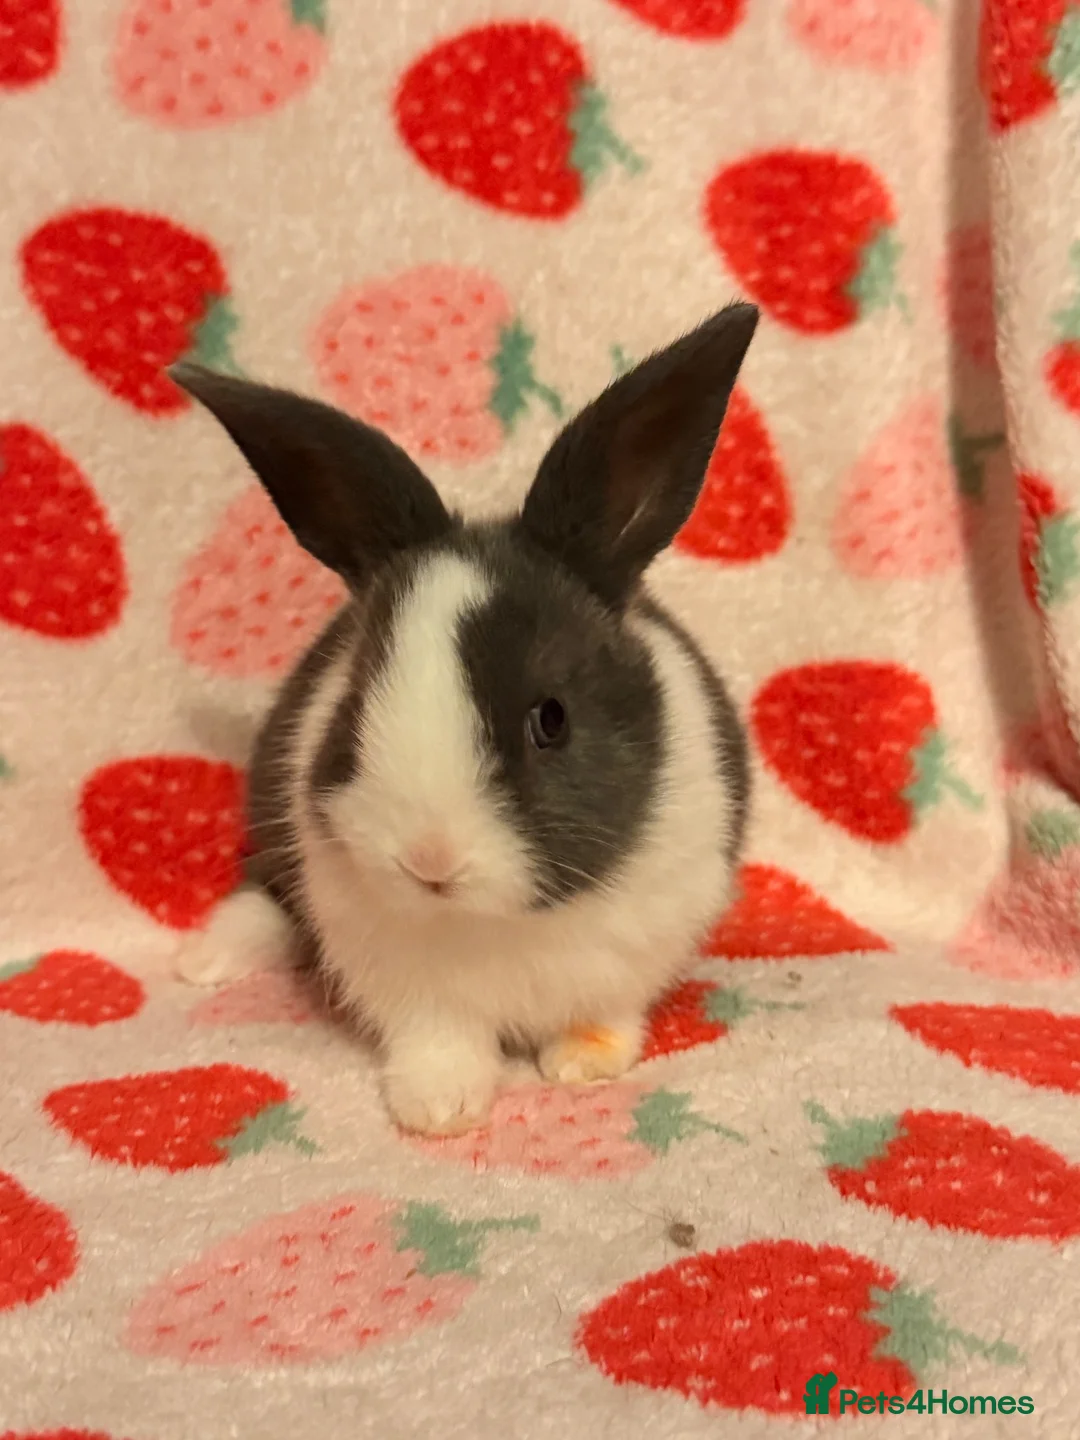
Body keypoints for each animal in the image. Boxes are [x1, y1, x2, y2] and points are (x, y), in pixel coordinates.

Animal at [169, 301, 758, 1136]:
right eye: (356, 701)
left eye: (552, 719)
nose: (429, 859)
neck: (494, 921)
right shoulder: (407, 983)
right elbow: (439, 1037)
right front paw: (438, 1108)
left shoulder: (638, 948)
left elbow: (604, 1016)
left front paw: (581, 1066)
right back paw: (203, 961)